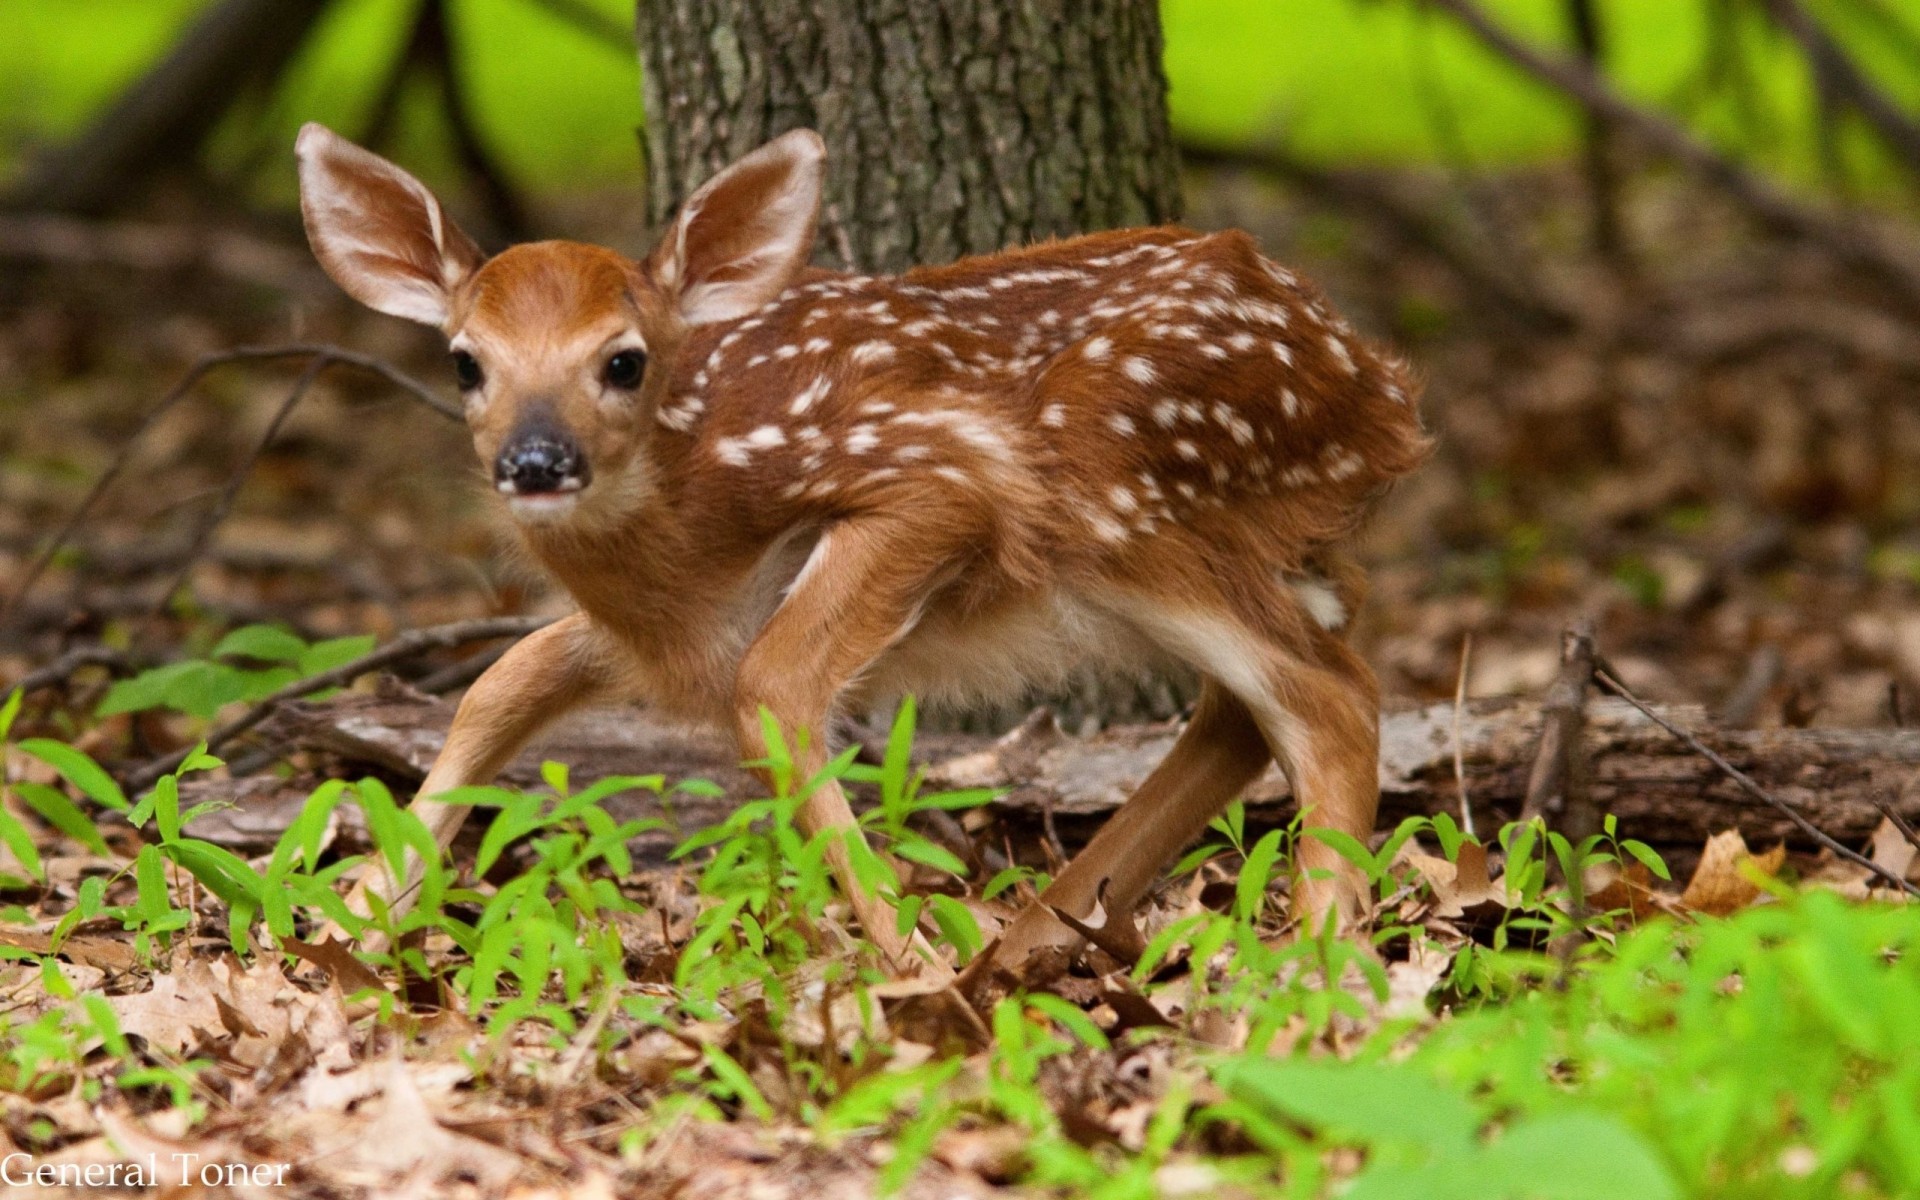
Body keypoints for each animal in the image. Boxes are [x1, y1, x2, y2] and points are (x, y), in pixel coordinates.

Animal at [295, 122, 1428, 977]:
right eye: (464, 362)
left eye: (623, 361)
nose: (536, 461)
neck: (688, 541)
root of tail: (1382, 386)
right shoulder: (637, 630)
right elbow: (498, 688)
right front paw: (343, 923)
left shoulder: (941, 476)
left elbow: (774, 684)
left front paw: (904, 954)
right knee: (1252, 705)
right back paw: (1028, 947)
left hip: (1125, 496)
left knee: (1328, 695)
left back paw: (1311, 969)